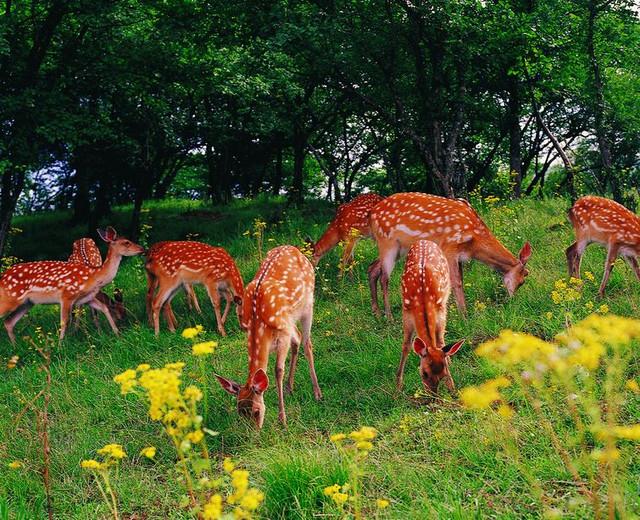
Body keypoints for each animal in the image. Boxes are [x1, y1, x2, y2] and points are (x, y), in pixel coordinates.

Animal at [0, 226, 142, 342]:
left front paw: (117, 334)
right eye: (127, 242)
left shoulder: (86, 298)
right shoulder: (67, 296)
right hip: (10, 299)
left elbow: (103, 308)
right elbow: (64, 321)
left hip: (27, 303)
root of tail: (2, 277)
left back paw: (15, 347)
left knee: (8, 322)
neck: (93, 276)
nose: (142, 248)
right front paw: (61, 346)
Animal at [216, 246, 324, 428]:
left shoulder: (283, 335)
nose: (255, 431)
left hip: (308, 305)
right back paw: (289, 388)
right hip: (290, 319)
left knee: (306, 343)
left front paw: (283, 419)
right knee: (298, 338)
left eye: (256, 411)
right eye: (240, 412)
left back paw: (317, 393)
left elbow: (278, 370)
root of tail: (294, 249)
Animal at [368, 193, 532, 318]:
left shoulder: (460, 256)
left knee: (373, 268)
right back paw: (389, 317)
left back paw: (377, 313)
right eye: (523, 280)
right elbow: (456, 282)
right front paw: (464, 317)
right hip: (387, 242)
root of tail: (371, 214)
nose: (513, 301)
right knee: (384, 278)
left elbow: (460, 281)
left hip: (399, 249)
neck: (474, 239)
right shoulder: (449, 246)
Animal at [396, 240, 464, 394]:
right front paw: (398, 386)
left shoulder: (440, 310)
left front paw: (451, 385)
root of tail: (424, 240)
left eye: (443, 374)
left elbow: (439, 342)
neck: (422, 297)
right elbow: (406, 346)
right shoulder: (406, 312)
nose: (432, 395)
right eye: (424, 373)